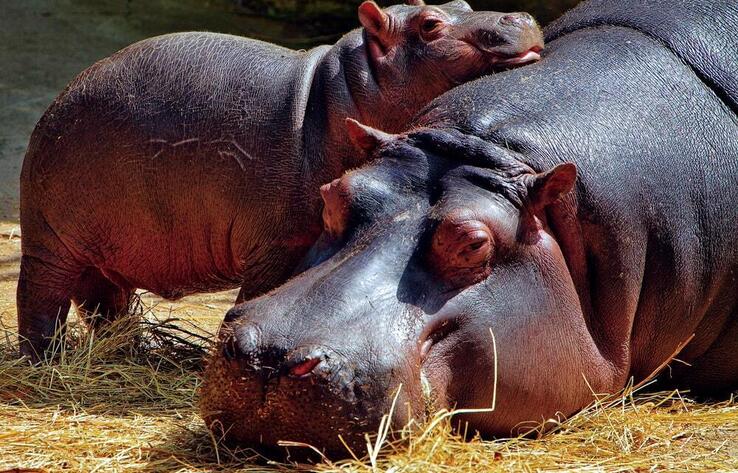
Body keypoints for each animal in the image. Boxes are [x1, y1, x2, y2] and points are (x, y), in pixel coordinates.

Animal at [17, 1, 543, 359]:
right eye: (430, 25)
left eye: (464, 4)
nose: (519, 16)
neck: (346, 91)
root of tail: (54, 105)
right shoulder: (276, 242)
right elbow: (258, 294)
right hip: (49, 239)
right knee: (39, 295)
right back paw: (46, 360)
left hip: (104, 247)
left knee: (104, 300)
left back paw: (133, 350)